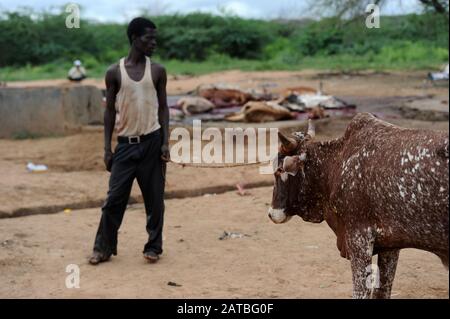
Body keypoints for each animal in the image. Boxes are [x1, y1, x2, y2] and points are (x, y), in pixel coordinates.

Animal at [268, 113, 448, 300]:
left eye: (279, 170)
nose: (271, 213)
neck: (336, 164)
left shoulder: (359, 239)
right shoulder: (391, 246)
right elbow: (382, 291)